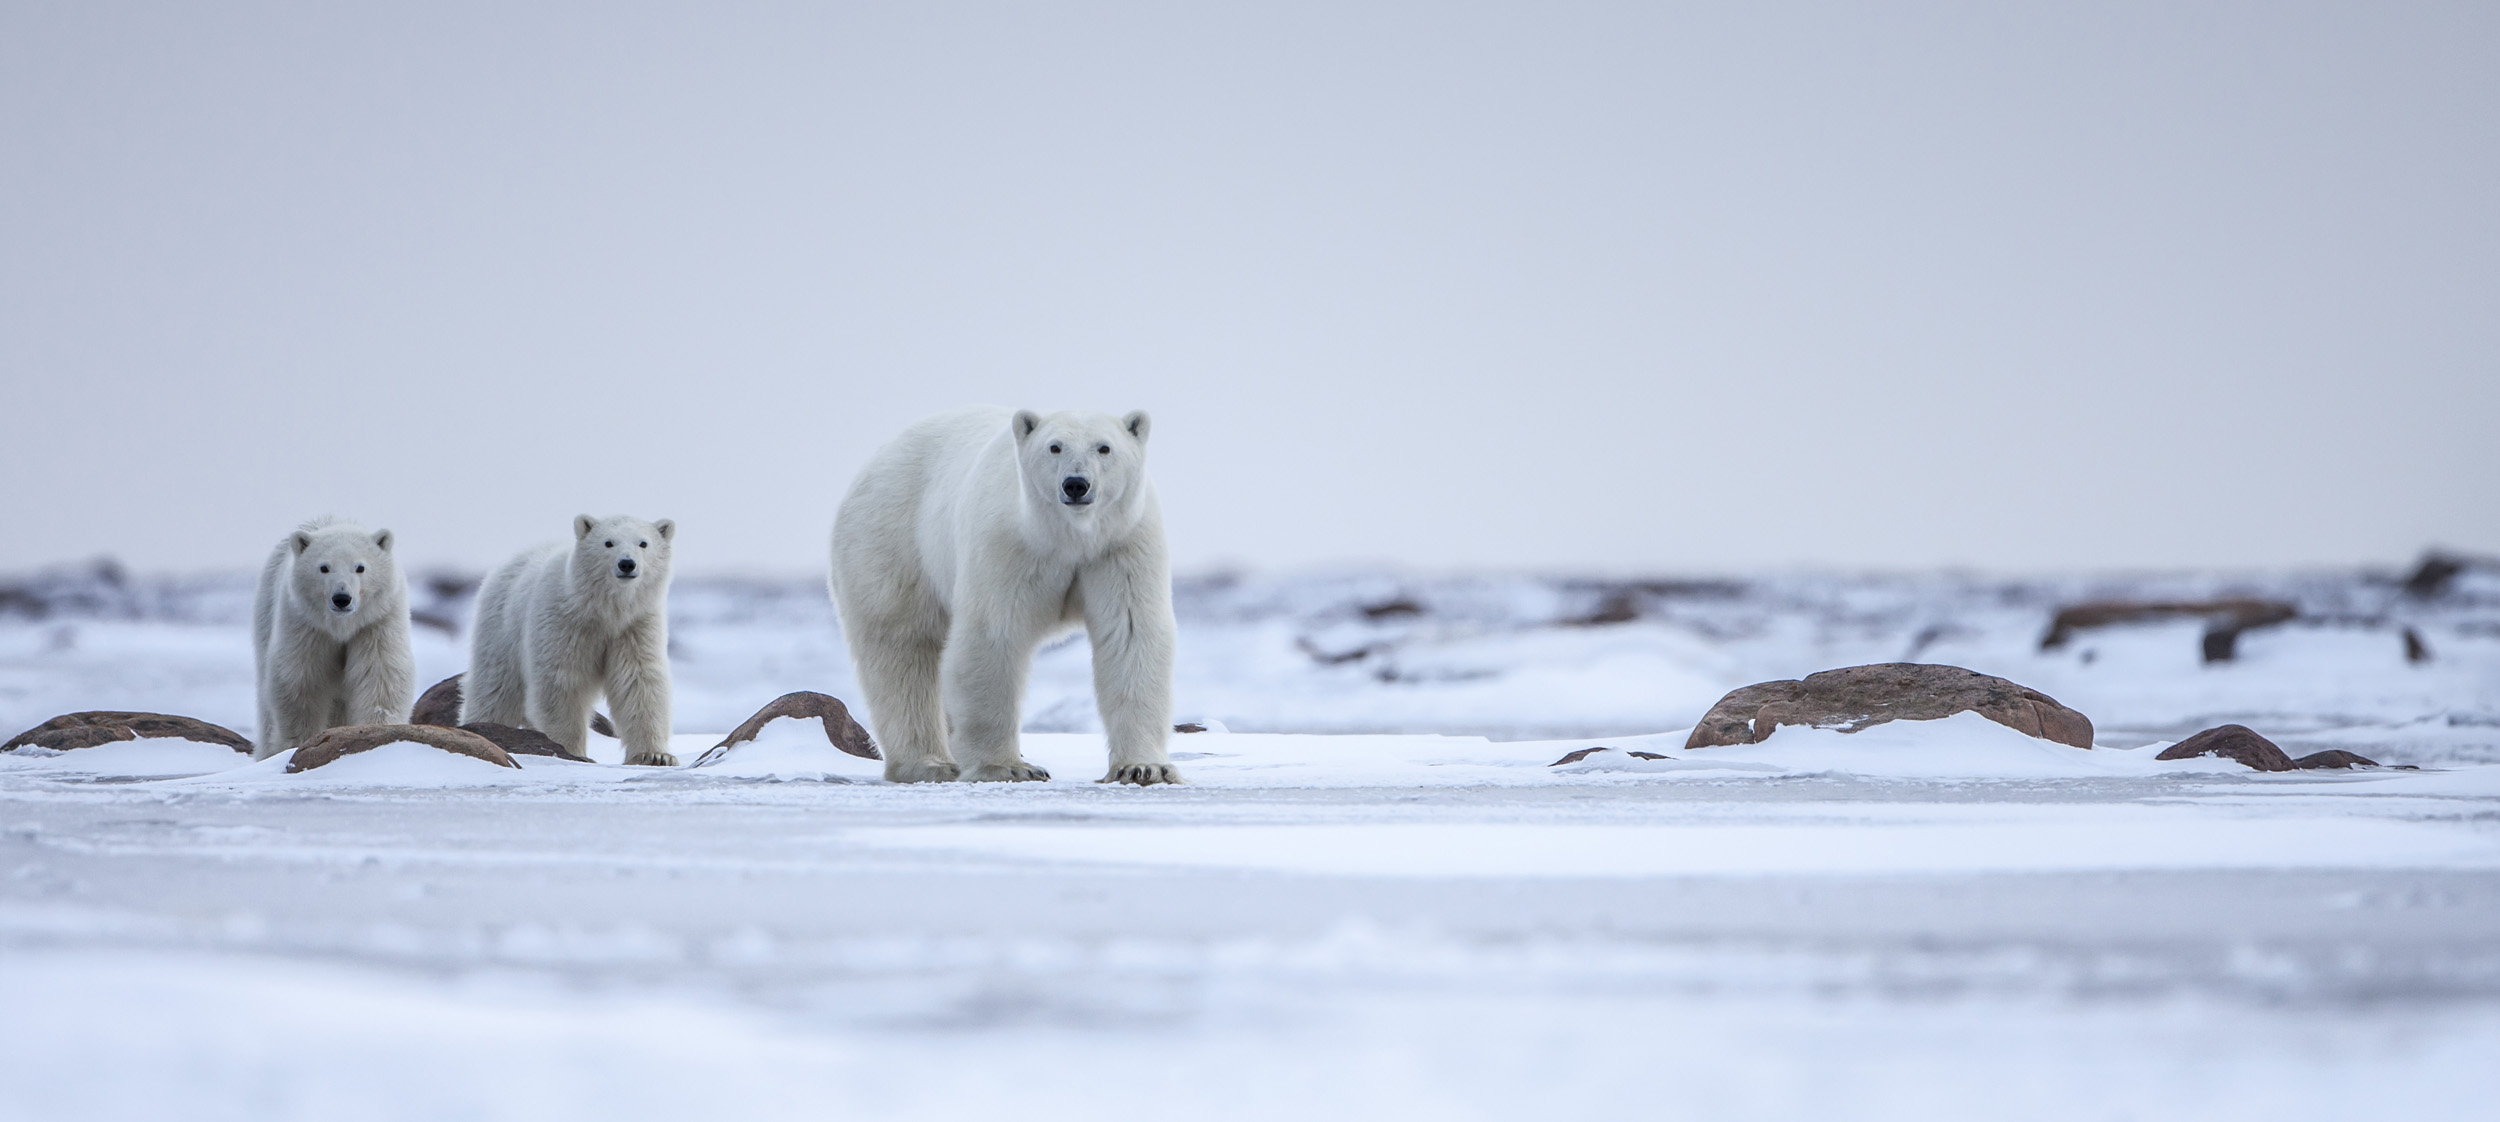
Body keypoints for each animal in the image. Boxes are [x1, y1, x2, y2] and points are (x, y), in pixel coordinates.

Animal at [250, 517, 415, 759]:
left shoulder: (377, 621)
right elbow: (302, 681)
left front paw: (377, 730)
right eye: (324, 567)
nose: (342, 598)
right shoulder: (306, 624)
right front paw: (301, 741)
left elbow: (380, 675)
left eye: (360, 567)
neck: (341, 626)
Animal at [830, 407, 1180, 784]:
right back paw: (928, 763)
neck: (1070, 537)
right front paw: (1008, 767)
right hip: (892, 541)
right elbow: (994, 635)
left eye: (1104, 448)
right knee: (902, 647)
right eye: (1054, 447)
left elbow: (1130, 634)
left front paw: (1144, 767)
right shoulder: (1009, 544)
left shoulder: (1121, 546)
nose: (1075, 484)